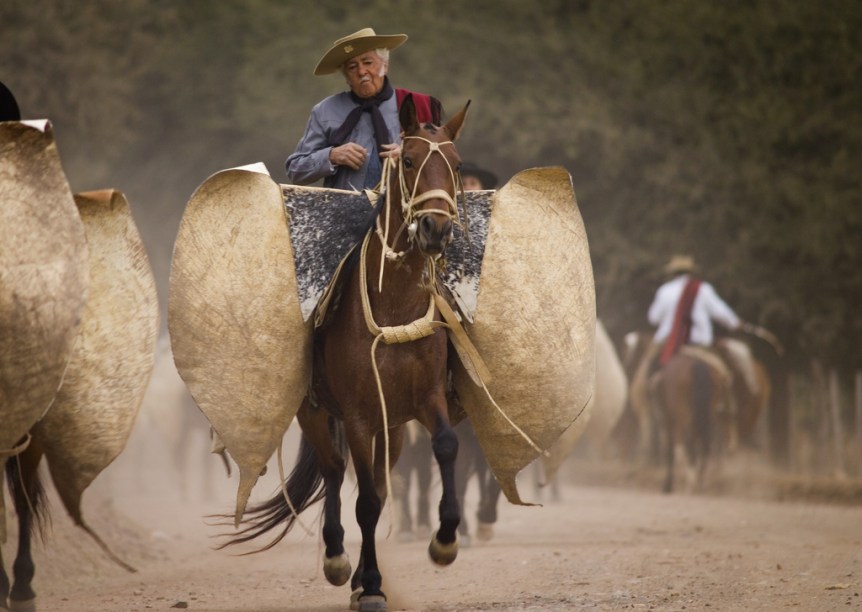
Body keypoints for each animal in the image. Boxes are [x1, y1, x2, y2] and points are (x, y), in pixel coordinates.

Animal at [219, 97, 470, 612]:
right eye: (408, 161)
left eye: (455, 165)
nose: (435, 229)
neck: (394, 306)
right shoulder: (357, 415)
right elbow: (366, 501)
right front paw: (370, 583)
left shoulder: (425, 400)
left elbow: (444, 446)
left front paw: (445, 540)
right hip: (316, 413)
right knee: (335, 472)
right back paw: (338, 562)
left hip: (390, 429)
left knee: (375, 477)